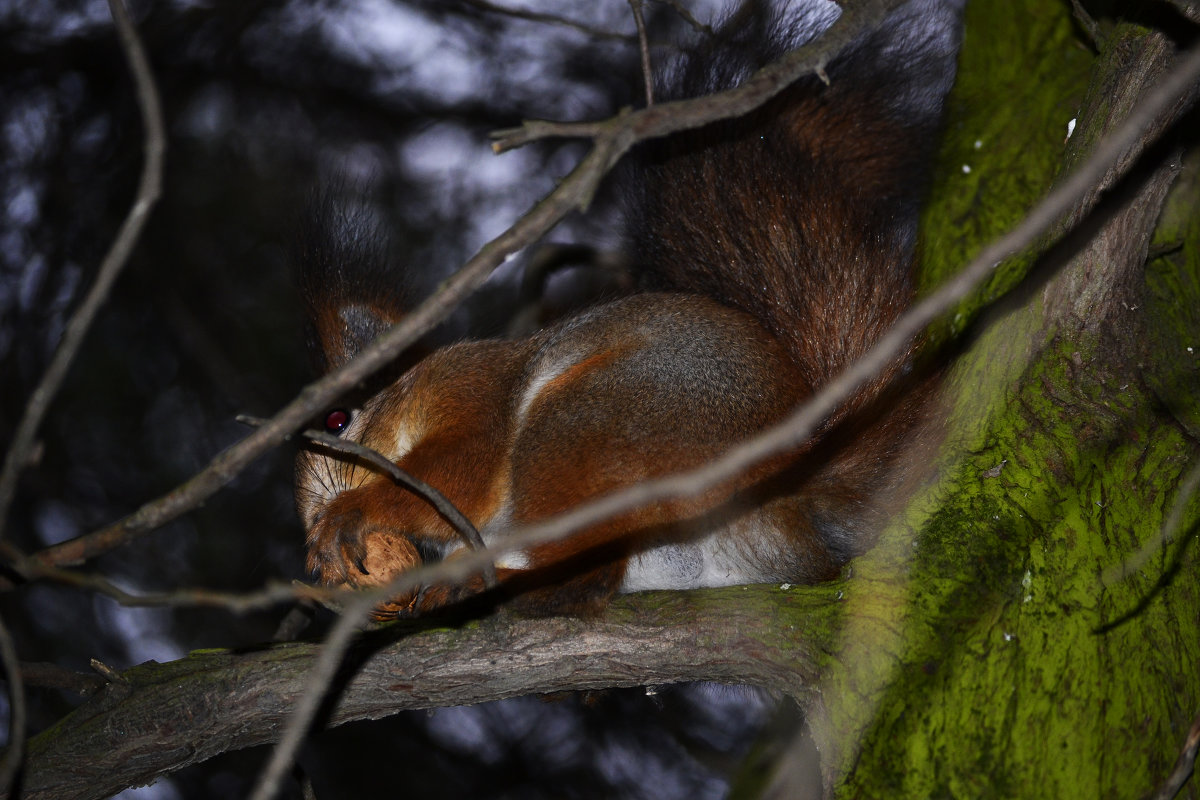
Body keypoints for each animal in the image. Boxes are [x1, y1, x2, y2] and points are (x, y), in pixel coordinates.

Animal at [292, 0, 964, 618]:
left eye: (336, 419)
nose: (309, 520)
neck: (412, 393)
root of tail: (786, 490)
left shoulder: (471, 392)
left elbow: (462, 469)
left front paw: (350, 515)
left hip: (597, 422)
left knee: (589, 565)